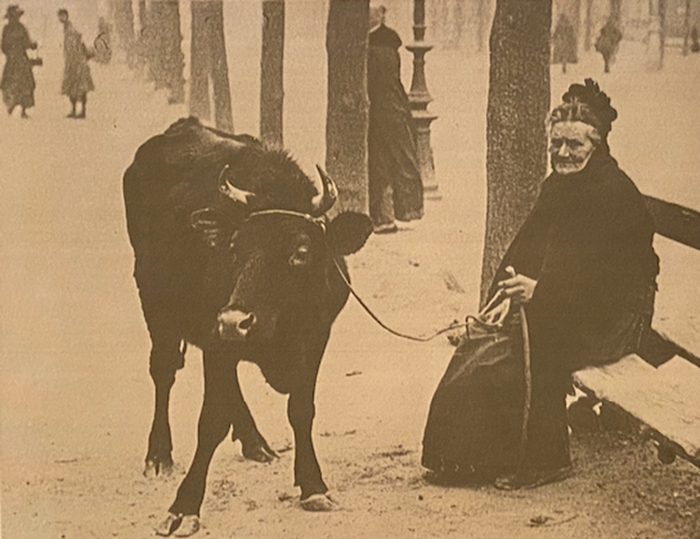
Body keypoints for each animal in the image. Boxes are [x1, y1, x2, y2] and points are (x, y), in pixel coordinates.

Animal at [121, 117, 372, 536]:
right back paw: (158, 455)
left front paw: (313, 486)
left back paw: (254, 441)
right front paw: (184, 507)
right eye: (235, 247)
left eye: (300, 252)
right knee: (164, 370)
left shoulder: (316, 337)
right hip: (154, 300)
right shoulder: (217, 336)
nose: (234, 321)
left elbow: (301, 410)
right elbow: (210, 423)